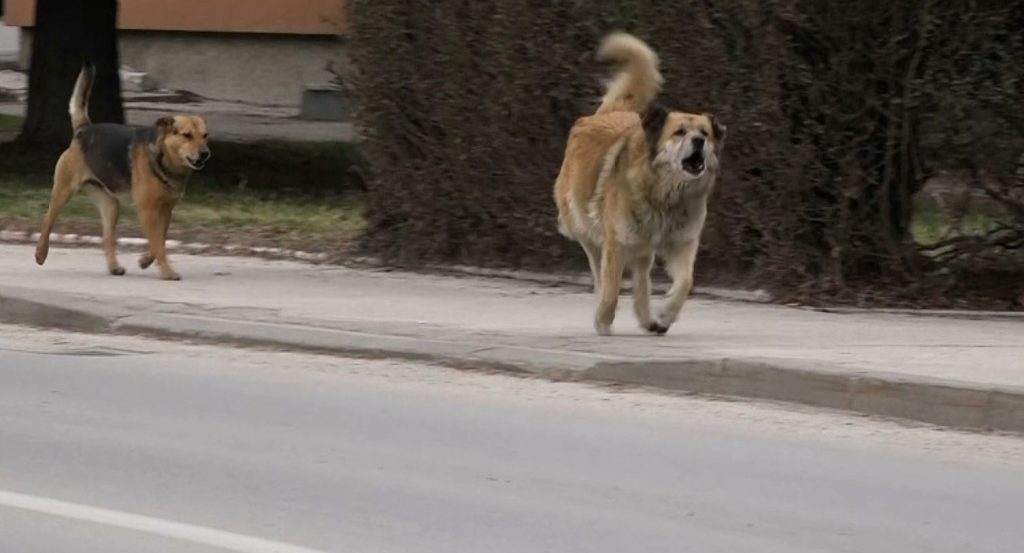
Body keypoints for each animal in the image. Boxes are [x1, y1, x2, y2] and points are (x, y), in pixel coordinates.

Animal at [35, 63, 210, 280]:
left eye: (205, 136)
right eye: (187, 135)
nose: (205, 154)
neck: (163, 158)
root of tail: (84, 129)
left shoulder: (166, 210)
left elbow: (159, 241)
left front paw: (145, 260)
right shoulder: (147, 210)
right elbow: (158, 245)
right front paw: (167, 272)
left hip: (110, 205)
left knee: (108, 238)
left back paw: (114, 267)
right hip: (63, 191)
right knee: (47, 220)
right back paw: (40, 253)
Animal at [552, 35, 729, 337]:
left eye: (704, 132)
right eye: (680, 132)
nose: (699, 141)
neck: (665, 194)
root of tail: (609, 113)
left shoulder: (682, 242)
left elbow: (685, 282)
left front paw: (666, 314)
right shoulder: (616, 243)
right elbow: (611, 288)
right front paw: (603, 321)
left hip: (642, 250)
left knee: (642, 283)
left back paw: (649, 319)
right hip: (590, 233)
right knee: (602, 277)